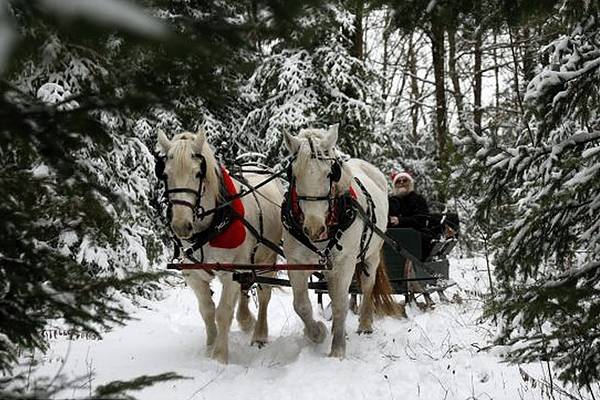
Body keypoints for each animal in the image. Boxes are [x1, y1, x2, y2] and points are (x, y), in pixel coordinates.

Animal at [157, 128, 284, 362]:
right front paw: (210, 346)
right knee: (246, 287)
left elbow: (223, 313)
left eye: (198, 173)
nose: (181, 226)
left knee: (264, 295)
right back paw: (246, 320)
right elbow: (207, 310)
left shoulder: (230, 272)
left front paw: (219, 357)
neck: (210, 227)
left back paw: (259, 334)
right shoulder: (193, 274)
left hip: (266, 257)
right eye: (166, 174)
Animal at [282, 124, 398, 356]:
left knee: (366, 286)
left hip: (370, 255)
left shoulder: (344, 263)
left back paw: (364, 325)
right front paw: (317, 332)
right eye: (294, 174)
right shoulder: (296, 263)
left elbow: (340, 304)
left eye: (330, 174)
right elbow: (301, 305)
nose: (314, 228)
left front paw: (337, 350)